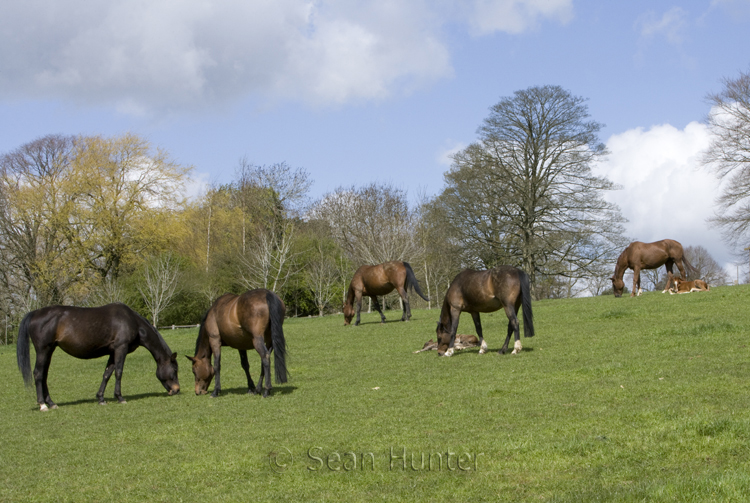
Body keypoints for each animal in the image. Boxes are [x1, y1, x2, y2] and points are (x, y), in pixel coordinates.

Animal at [16, 306, 181, 412]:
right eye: (174, 370)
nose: (176, 390)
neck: (132, 321)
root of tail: (35, 313)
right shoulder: (121, 349)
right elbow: (118, 372)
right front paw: (120, 397)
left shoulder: (113, 352)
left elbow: (107, 374)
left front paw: (101, 398)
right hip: (43, 350)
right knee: (38, 374)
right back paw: (42, 405)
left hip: (49, 351)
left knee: (44, 375)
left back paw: (51, 403)